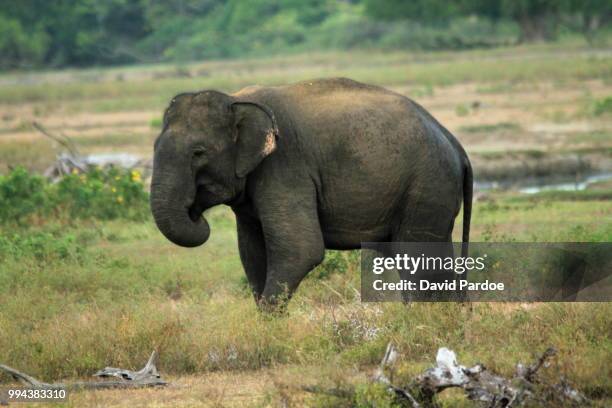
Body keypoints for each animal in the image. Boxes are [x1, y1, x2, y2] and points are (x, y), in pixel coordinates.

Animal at [149, 77, 474, 310]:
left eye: (198, 153)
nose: (196, 214)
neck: (235, 99)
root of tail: (456, 145)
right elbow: (252, 253)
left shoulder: (285, 167)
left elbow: (301, 249)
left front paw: (268, 327)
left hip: (427, 184)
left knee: (417, 257)